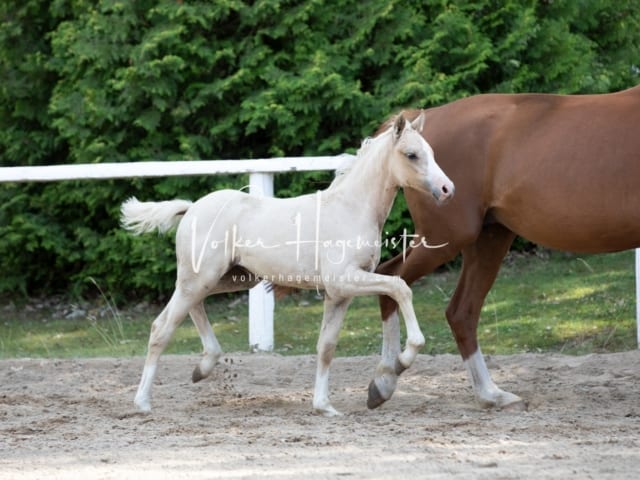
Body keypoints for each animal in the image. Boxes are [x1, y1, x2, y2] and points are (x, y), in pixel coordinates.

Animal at [122, 113, 452, 416]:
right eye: (411, 154)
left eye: (432, 152)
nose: (447, 189)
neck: (350, 209)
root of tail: (191, 209)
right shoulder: (344, 279)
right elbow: (400, 287)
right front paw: (404, 359)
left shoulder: (340, 294)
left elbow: (326, 346)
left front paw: (324, 406)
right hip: (202, 278)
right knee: (161, 328)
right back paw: (142, 403)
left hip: (227, 278)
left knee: (192, 308)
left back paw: (202, 367)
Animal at [368, 84, 640, 410]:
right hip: (447, 236)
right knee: (393, 280)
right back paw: (384, 381)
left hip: (488, 239)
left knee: (460, 311)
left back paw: (490, 394)